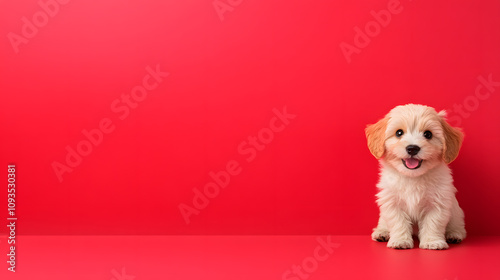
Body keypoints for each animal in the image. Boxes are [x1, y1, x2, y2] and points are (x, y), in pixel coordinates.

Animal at [366, 103, 466, 249]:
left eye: (428, 134)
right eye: (399, 133)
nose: (412, 148)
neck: (412, 177)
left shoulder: (438, 202)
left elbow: (433, 222)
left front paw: (432, 241)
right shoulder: (392, 202)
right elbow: (398, 222)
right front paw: (400, 241)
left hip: (456, 212)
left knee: (458, 225)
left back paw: (454, 234)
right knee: (383, 222)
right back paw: (382, 232)